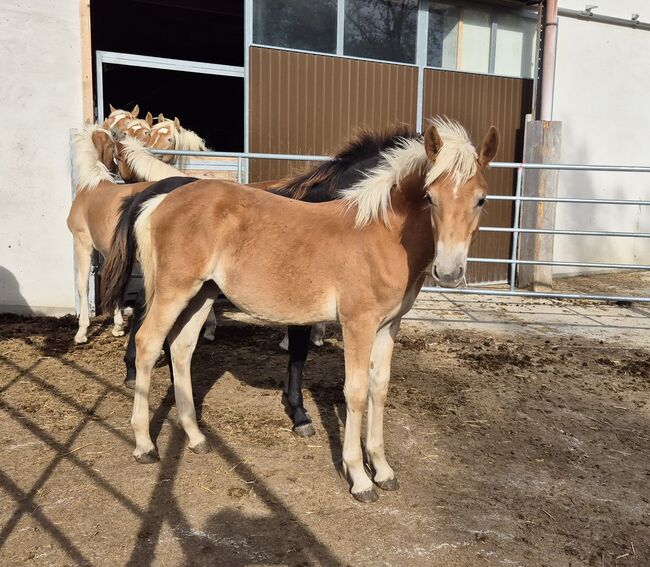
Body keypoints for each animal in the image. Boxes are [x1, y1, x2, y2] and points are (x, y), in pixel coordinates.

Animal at [101, 118, 498, 502]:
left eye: (481, 200)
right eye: (430, 197)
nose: (449, 272)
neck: (380, 233)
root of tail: (160, 198)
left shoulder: (389, 326)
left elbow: (379, 388)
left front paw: (383, 471)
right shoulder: (358, 323)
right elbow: (355, 392)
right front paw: (359, 479)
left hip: (203, 293)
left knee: (181, 349)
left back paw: (196, 438)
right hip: (174, 290)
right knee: (148, 344)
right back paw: (144, 445)